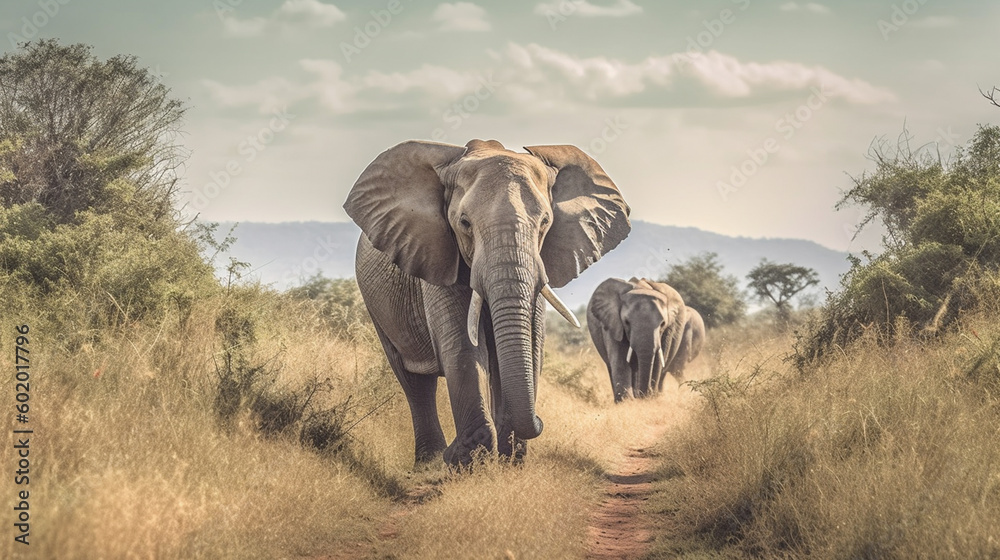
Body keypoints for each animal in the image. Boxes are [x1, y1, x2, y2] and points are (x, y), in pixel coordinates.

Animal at [344, 139, 631, 466]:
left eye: (545, 222)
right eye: (464, 223)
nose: (540, 421)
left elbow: (532, 345)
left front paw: (509, 460)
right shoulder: (439, 256)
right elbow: (463, 346)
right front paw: (463, 461)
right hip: (376, 302)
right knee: (414, 380)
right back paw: (429, 462)